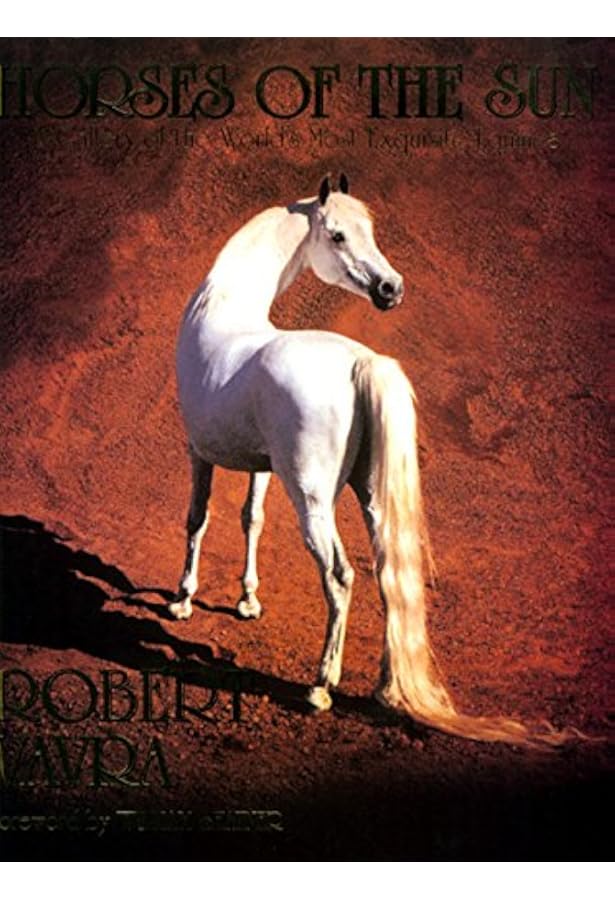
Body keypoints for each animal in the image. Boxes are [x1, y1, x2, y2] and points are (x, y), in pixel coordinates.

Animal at [171, 174, 574, 747]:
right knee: (389, 579)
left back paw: (320, 687)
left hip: (314, 504)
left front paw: (183, 600)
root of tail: (361, 361)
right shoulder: (260, 466)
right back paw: (387, 689)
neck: (222, 308)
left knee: (341, 577)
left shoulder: (197, 451)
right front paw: (247, 601)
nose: (391, 288)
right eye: (339, 235)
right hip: (370, 500)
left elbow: (198, 519)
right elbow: (251, 520)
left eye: (369, 231)